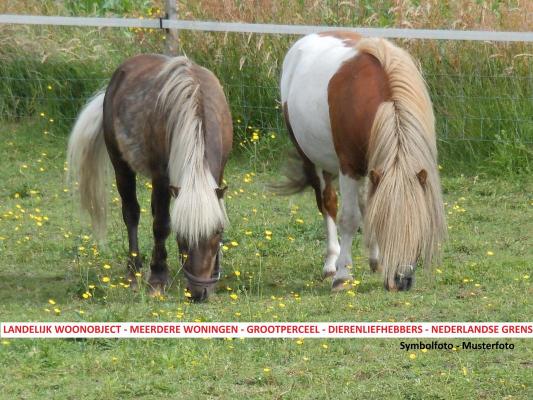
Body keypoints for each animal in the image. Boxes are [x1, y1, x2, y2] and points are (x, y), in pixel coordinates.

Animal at [67, 54, 232, 302]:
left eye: (217, 232)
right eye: (182, 235)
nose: (199, 293)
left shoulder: (217, 172)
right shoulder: (161, 178)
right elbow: (161, 226)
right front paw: (157, 278)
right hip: (121, 166)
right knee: (131, 214)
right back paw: (134, 270)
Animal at [276, 32, 446, 290]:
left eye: (419, 227)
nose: (401, 281)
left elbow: (369, 209)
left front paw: (377, 262)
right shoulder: (349, 167)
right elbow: (349, 218)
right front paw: (343, 275)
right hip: (313, 159)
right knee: (327, 203)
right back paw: (331, 263)